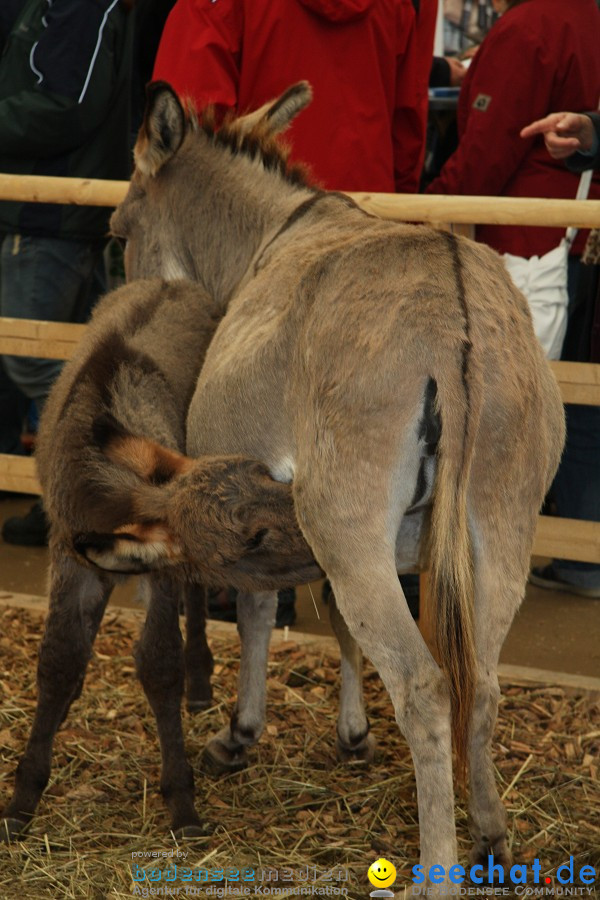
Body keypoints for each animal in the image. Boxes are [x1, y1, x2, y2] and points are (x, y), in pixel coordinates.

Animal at [1, 278, 318, 840]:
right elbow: (59, 658)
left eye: (266, 473)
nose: (325, 530)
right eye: (250, 540)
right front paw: (23, 800)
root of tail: (173, 283)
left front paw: (182, 803)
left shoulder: (162, 569)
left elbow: (160, 661)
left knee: (193, 603)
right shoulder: (69, 557)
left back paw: (201, 679)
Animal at [101, 82, 564, 884]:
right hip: (498, 530)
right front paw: (352, 734)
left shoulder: (257, 513)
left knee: (426, 687)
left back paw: (437, 867)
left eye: (118, 230)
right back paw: (491, 833)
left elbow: (258, 612)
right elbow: (340, 625)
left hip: (353, 527)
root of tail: (454, 315)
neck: (269, 236)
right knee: (482, 682)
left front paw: (241, 732)